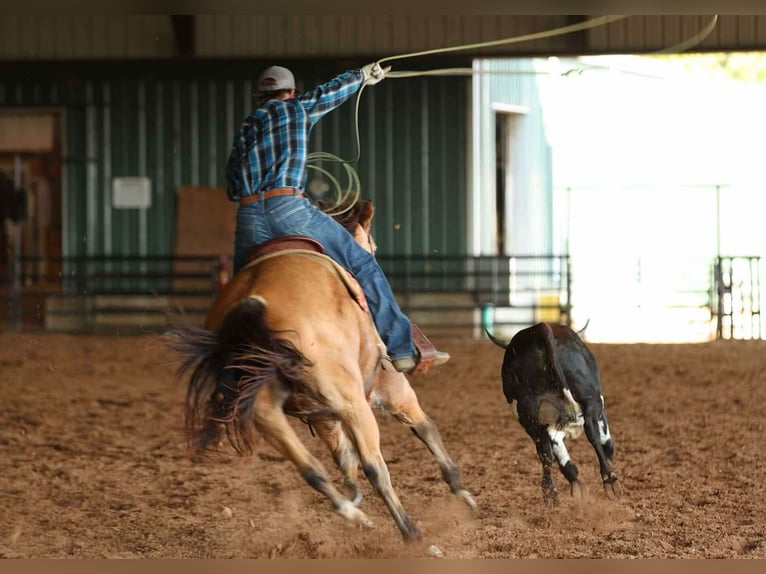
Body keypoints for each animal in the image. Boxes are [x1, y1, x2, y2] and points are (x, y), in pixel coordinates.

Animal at [166, 196, 476, 542]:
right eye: (373, 246)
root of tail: (254, 301)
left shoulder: (322, 413)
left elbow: (343, 455)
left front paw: (352, 490)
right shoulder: (392, 388)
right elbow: (426, 428)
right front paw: (462, 494)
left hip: (267, 412)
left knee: (311, 469)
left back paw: (355, 515)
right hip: (352, 403)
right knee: (376, 467)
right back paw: (415, 537)